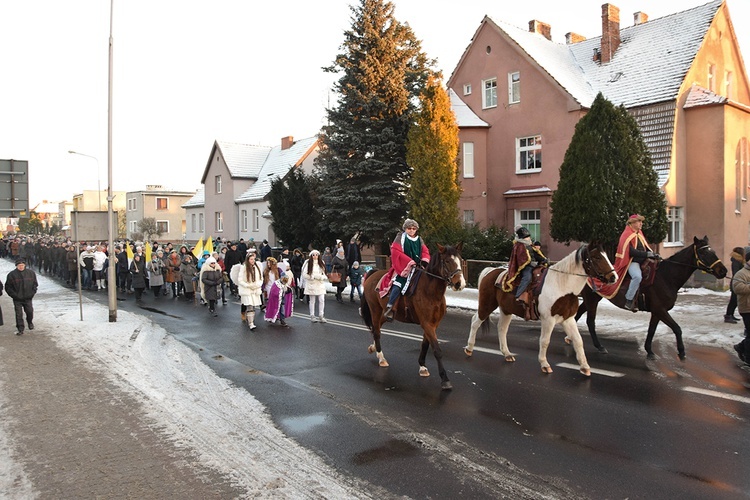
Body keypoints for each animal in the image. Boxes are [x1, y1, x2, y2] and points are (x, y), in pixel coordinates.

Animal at [362, 243, 468, 390]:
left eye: (460, 259)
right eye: (447, 261)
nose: (460, 284)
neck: (431, 292)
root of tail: (373, 273)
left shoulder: (433, 324)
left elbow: (425, 345)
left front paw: (422, 367)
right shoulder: (427, 324)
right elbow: (437, 350)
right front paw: (445, 379)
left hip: (384, 313)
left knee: (375, 329)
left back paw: (373, 348)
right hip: (375, 310)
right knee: (376, 331)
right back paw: (381, 358)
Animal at [576, 237, 728, 360]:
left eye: (713, 251)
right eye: (703, 253)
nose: (723, 271)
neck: (666, 276)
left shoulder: (656, 312)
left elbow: (652, 330)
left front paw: (649, 351)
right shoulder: (660, 309)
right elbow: (677, 328)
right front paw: (681, 351)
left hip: (591, 300)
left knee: (578, 315)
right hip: (591, 299)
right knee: (590, 322)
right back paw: (598, 346)